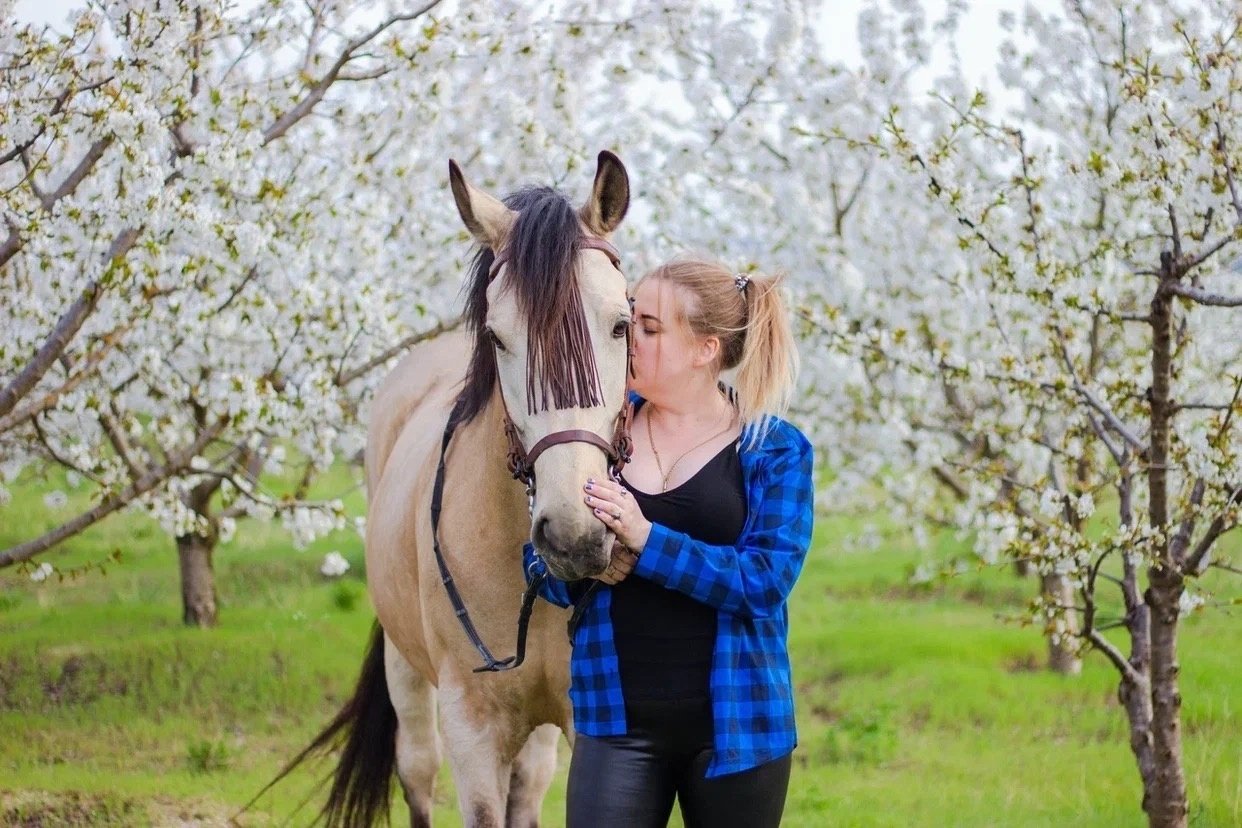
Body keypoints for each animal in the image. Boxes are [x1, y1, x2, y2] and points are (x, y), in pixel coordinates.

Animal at [275, 152, 635, 824]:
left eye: (623, 325)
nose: (573, 534)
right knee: (417, 772)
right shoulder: (471, 725)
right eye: (497, 337)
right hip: (406, 672)